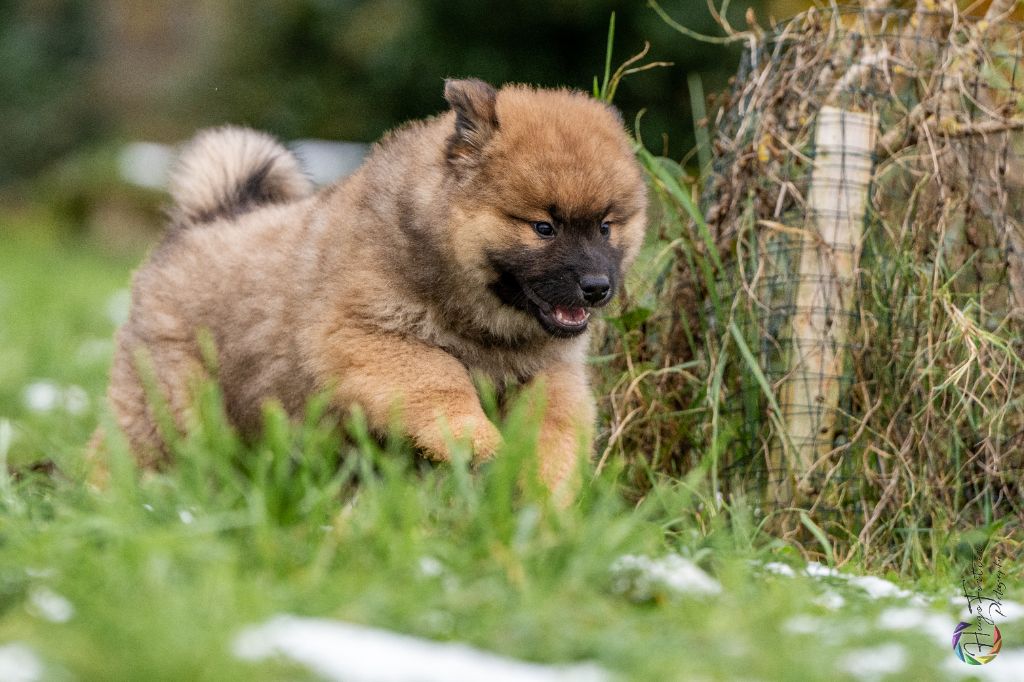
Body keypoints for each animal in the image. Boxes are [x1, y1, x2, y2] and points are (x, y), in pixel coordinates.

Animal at [105, 79, 647, 493]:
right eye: (543, 227)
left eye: (605, 226)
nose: (597, 287)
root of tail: (202, 219)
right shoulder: (368, 337)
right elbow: (442, 378)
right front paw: (476, 441)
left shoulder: (549, 372)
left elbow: (555, 428)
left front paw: (548, 493)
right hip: (168, 409)